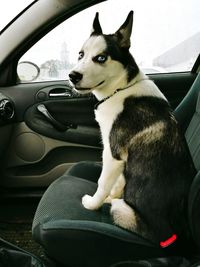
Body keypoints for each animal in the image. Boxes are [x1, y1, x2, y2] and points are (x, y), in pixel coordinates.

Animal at [69, 12, 195, 247]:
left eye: (101, 58)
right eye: (81, 54)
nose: (73, 75)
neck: (121, 88)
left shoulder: (113, 154)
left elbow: (102, 182)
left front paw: (93, 203)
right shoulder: (122, 161)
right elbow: (119, 182)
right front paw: (111, 194)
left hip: (123, 212)